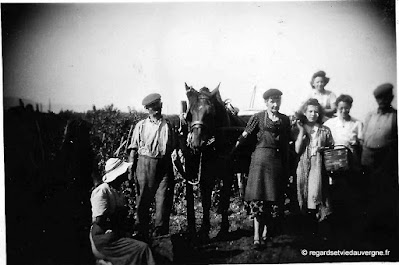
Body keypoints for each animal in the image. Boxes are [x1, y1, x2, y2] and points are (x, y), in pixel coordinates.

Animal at [184, 82, 252, 237]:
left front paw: (223, 228)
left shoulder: (227, 175)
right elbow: (206, 202)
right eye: (189, 114)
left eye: (210, 114)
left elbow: (225, 198)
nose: (196, 143)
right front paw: (204, 229)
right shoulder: (205, 175)